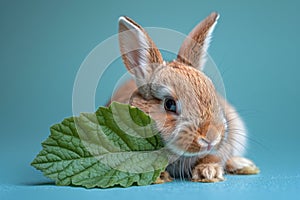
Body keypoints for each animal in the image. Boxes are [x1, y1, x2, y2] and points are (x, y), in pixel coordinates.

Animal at [109, 11, 258, 182]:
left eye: (213, 92)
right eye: (169, 104)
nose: (211, 138)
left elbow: (214, 157)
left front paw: (209, 172)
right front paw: (161, 176)